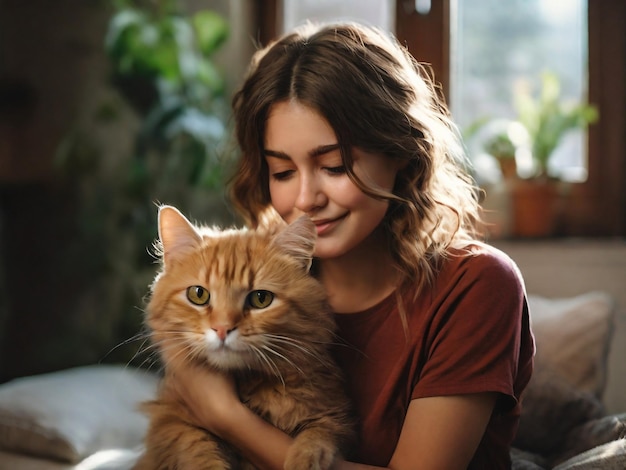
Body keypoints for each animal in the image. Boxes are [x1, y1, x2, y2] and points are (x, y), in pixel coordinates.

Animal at [133, 206, 354, 470]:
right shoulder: (170, 422)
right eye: (198, 294)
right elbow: (197, 451)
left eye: (261, 299)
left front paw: (304, 460)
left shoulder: (334, 416)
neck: (249, 386)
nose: (222, 328)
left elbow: (318, 436)